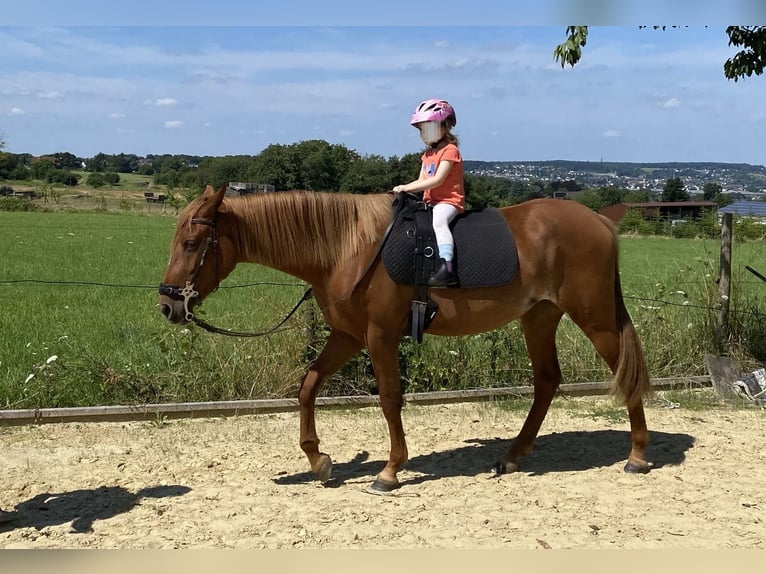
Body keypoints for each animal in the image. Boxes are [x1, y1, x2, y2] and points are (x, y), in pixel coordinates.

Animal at [159, 187, 652, 492]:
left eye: (191, 243)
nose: (167, 305)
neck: (346, 246)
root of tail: (599, 221)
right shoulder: (347, 336)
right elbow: (308, 386)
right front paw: (318, 461)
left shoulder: (379, 337)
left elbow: (390, 398)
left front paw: (390, 470)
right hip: (540, 317)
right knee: (547, 381)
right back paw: (512, 456)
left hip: (595, 319)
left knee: (626, 376)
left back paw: (637, 454)